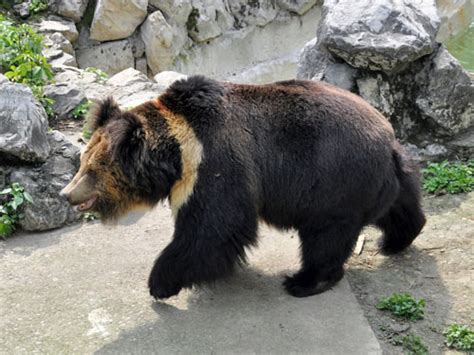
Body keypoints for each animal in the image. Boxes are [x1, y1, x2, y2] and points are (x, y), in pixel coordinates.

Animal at [60, 76, 426, 300]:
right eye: (82, 161)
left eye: (91, 169)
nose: (66, 194)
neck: (178, 153)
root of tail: (386, 140)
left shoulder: (215, 163)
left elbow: (214, 228)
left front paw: (160, 283)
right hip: (383, 178)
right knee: (401, 205)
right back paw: (397, 239)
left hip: (333, 181)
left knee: (325, 237)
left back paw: (304, 281)